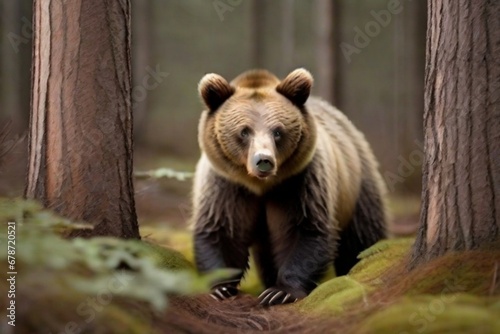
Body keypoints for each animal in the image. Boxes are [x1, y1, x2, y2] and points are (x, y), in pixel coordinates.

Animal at [190, 69, 386, 306]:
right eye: (244, 132)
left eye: (277, 131)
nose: (263, 160)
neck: (260, 186)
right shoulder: (227, 186)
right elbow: (222, 229)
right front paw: (222, 287)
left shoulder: (299, 183)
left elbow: (304, 230)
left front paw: (280, 292)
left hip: (355, 183)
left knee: (361, 237)